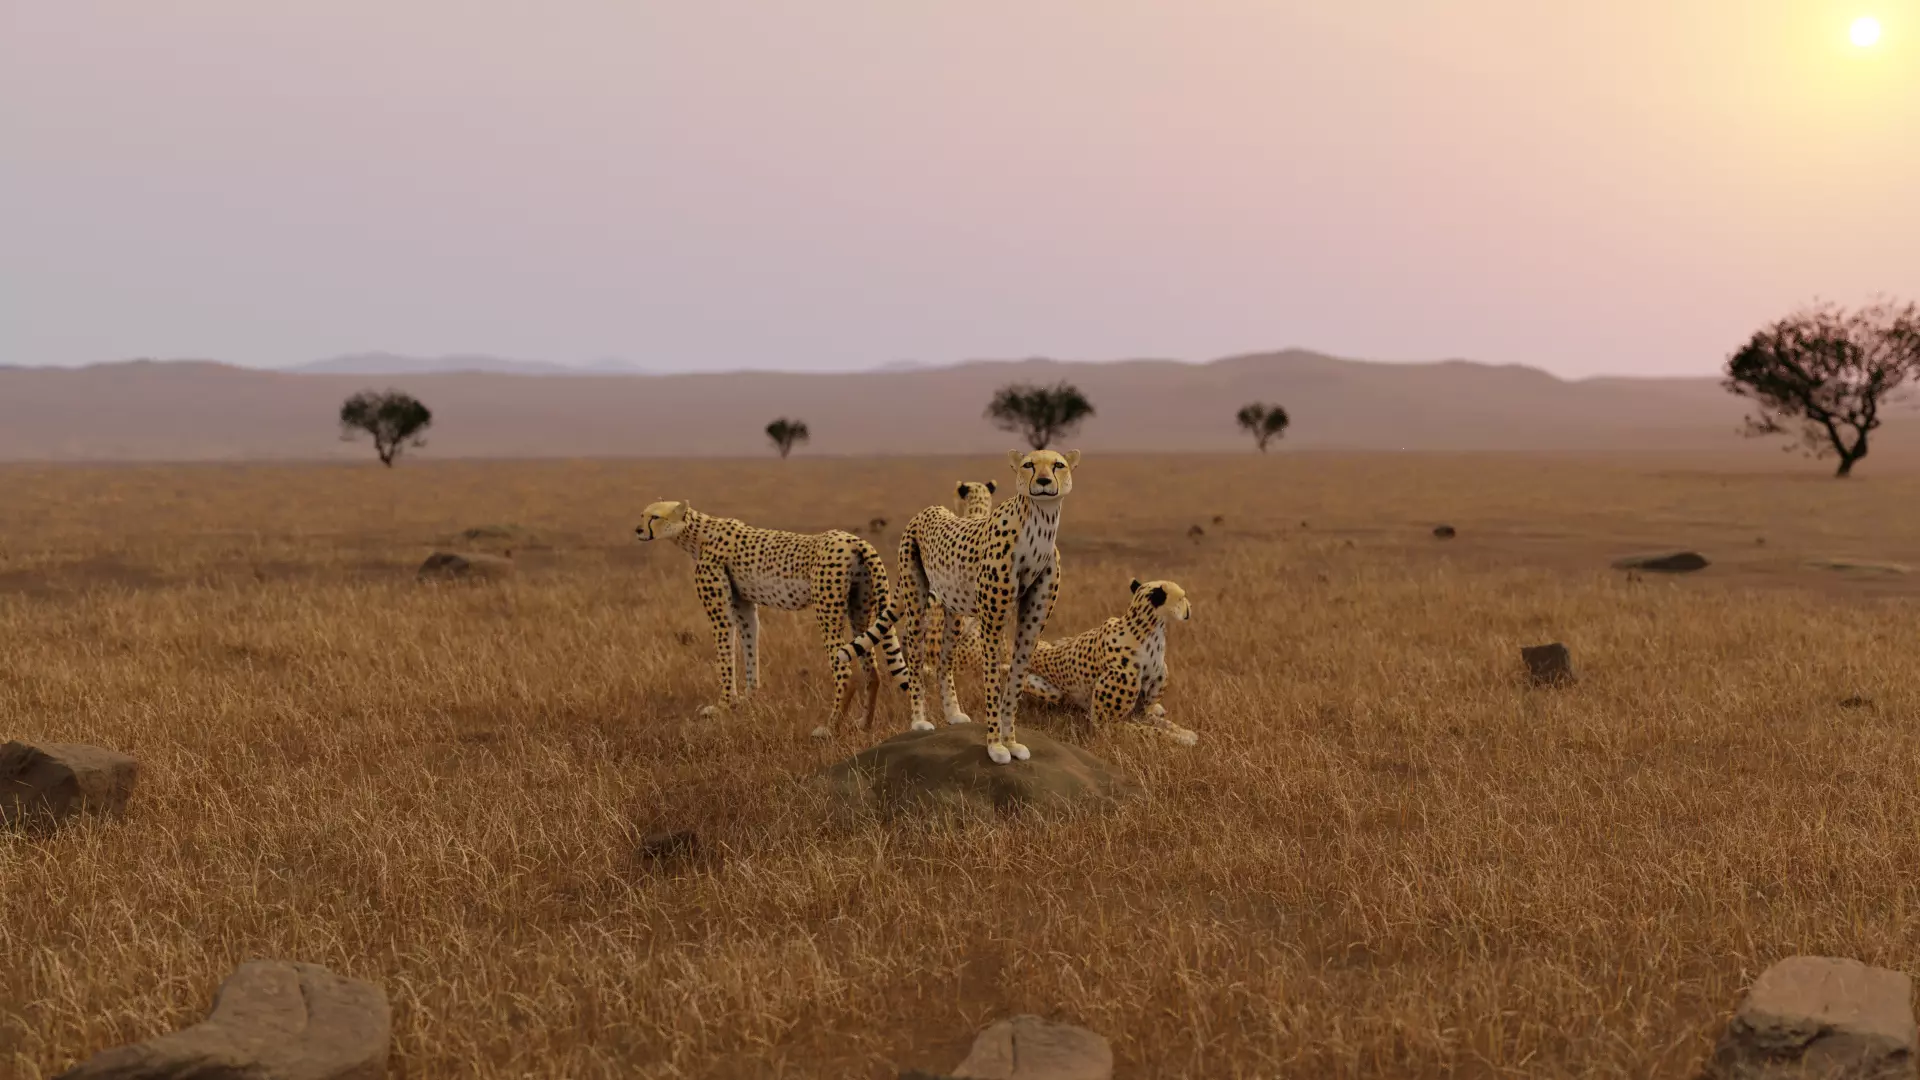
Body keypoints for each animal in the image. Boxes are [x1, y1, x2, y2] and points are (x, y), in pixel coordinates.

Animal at [637, 501, 909, 737]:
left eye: (655, 516)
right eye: (642, 514)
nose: (638, 530)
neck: (697, 532)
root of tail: (856, 541)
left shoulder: (719, 611)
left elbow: (724, 655)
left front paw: (723, 705)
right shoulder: (744, 605)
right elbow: (749, 643)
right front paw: (748, 700)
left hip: (827, 609)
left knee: (845, 672)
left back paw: (830, 728)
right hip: (860, 609)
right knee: (871, 671)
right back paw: (864, 724)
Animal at [840, 449, 1079, 765]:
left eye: (1058, 465)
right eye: (1028, 465)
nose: (1042, 481)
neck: (1040, 524)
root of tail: (927, 510)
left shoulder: (1032, 623)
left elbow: (1015, 682)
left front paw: (1012, 743)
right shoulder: (991, 621)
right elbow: (992, 682)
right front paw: (996, 747)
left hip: (953, 612)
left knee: (944, 663)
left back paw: (953, 713)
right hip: (917, 604)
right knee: (915, 661)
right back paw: (919, 721)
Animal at [1019, 578, 1199, 746]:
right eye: (1182, 597)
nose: (1190, 605)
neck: (1151, 633)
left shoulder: (1140, 711)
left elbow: (1161, 722)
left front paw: (1183, 732)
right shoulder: (1106, 722)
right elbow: (1149, 731)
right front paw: (1182, 739)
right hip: (1050, 692)